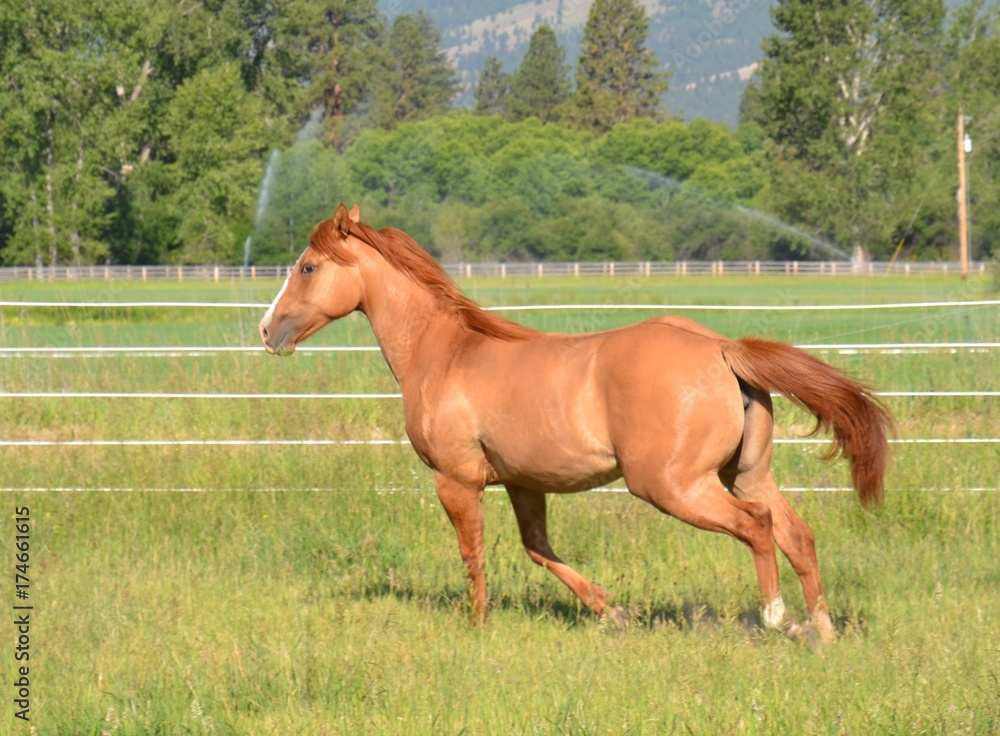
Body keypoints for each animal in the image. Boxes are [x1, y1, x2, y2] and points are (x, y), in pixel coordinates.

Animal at [259, 204, 892, 645]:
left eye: (308, 267)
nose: (268, 331)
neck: (445, 353)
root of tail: (720, 349)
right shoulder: (523, 484)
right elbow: (538, 549)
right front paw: (612, 612)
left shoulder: (456, 481)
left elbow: (474, 554)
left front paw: (477, 627)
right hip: (747, 472)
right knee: (797, 535)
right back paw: (821, 629)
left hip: (674, 486)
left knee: (756, 526)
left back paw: (777, 617)